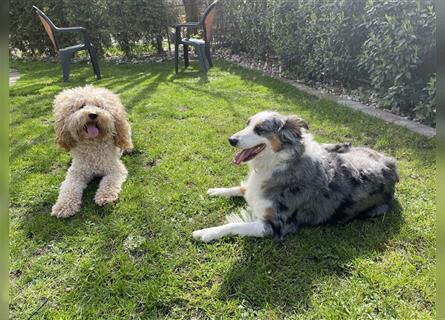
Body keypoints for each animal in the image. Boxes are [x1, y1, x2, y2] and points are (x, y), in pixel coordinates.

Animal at [51, 84, 133, 219]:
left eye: (100, 106)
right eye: (81, 106)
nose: (93, 114)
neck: (92, 145)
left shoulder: (115, 169)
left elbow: (109, 182)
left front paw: (105, 196)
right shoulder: (75, 173)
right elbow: (68, 188)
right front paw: (63, 206)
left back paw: (128, 148)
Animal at [193, 111, 398, 241]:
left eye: (260, 130)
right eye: (247, 124)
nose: (231, 140)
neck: (276, 163)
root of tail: (390, 161)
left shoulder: (277, 225)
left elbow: (235, 226)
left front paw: (207, 232)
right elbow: (242, 188)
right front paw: (217, 191)